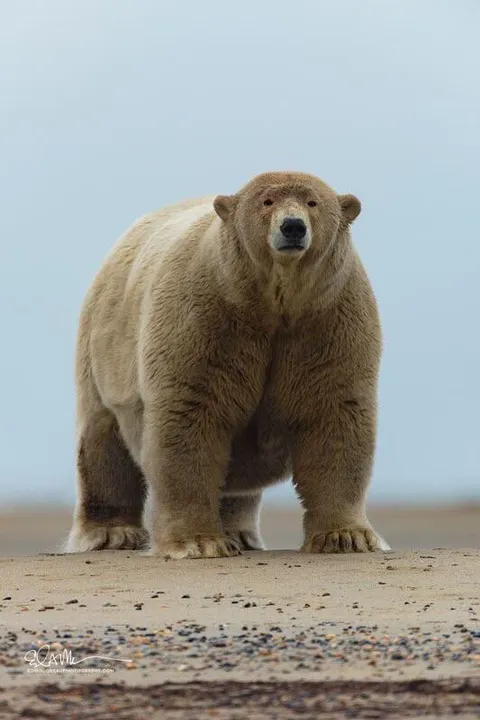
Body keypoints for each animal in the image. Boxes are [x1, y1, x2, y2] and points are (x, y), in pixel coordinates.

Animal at [67, 170, 390, 559]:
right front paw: (198, 542)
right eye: (266, 201)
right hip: (103, 351)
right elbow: (191, 415)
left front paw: (346, 537)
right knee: (103, 440)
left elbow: (333, 414)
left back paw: (240, 533)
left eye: (313, 202)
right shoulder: (206, 315)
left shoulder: (328, 319)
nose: (293, 227)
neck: (273, 303)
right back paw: (112, 533)